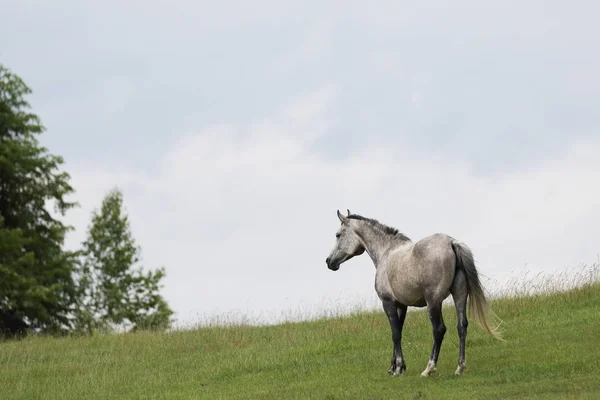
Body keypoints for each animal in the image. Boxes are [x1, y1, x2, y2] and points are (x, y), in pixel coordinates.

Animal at [326, 211, 504, 376]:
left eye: (338, 235)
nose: (329, 261)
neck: (386, 252)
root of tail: (451, 243)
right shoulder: (401, 306)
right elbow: (399, 331)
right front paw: (394, 367)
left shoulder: (388, 303)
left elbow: (395, 334)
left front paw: (398, 368)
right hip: (459, 295)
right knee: (462, 326)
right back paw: (460, 367)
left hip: (434, 301)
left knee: (439, 330)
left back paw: (429, 368)